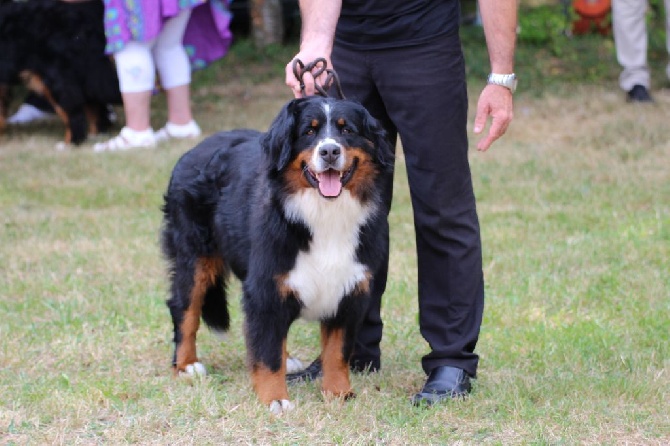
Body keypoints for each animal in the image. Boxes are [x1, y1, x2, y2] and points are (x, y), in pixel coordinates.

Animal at [162, 95, 394, 414]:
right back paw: (186, 365)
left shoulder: (350, 289)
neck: (325, 213)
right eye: (309, 132)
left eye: (347, 130)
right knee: (185, 308)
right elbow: (267, 352)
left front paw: (338, 392)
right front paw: (274, 398)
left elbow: (336, 352)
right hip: (194, 258)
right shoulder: (265, 286)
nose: (330, 151)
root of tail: (195, 149)